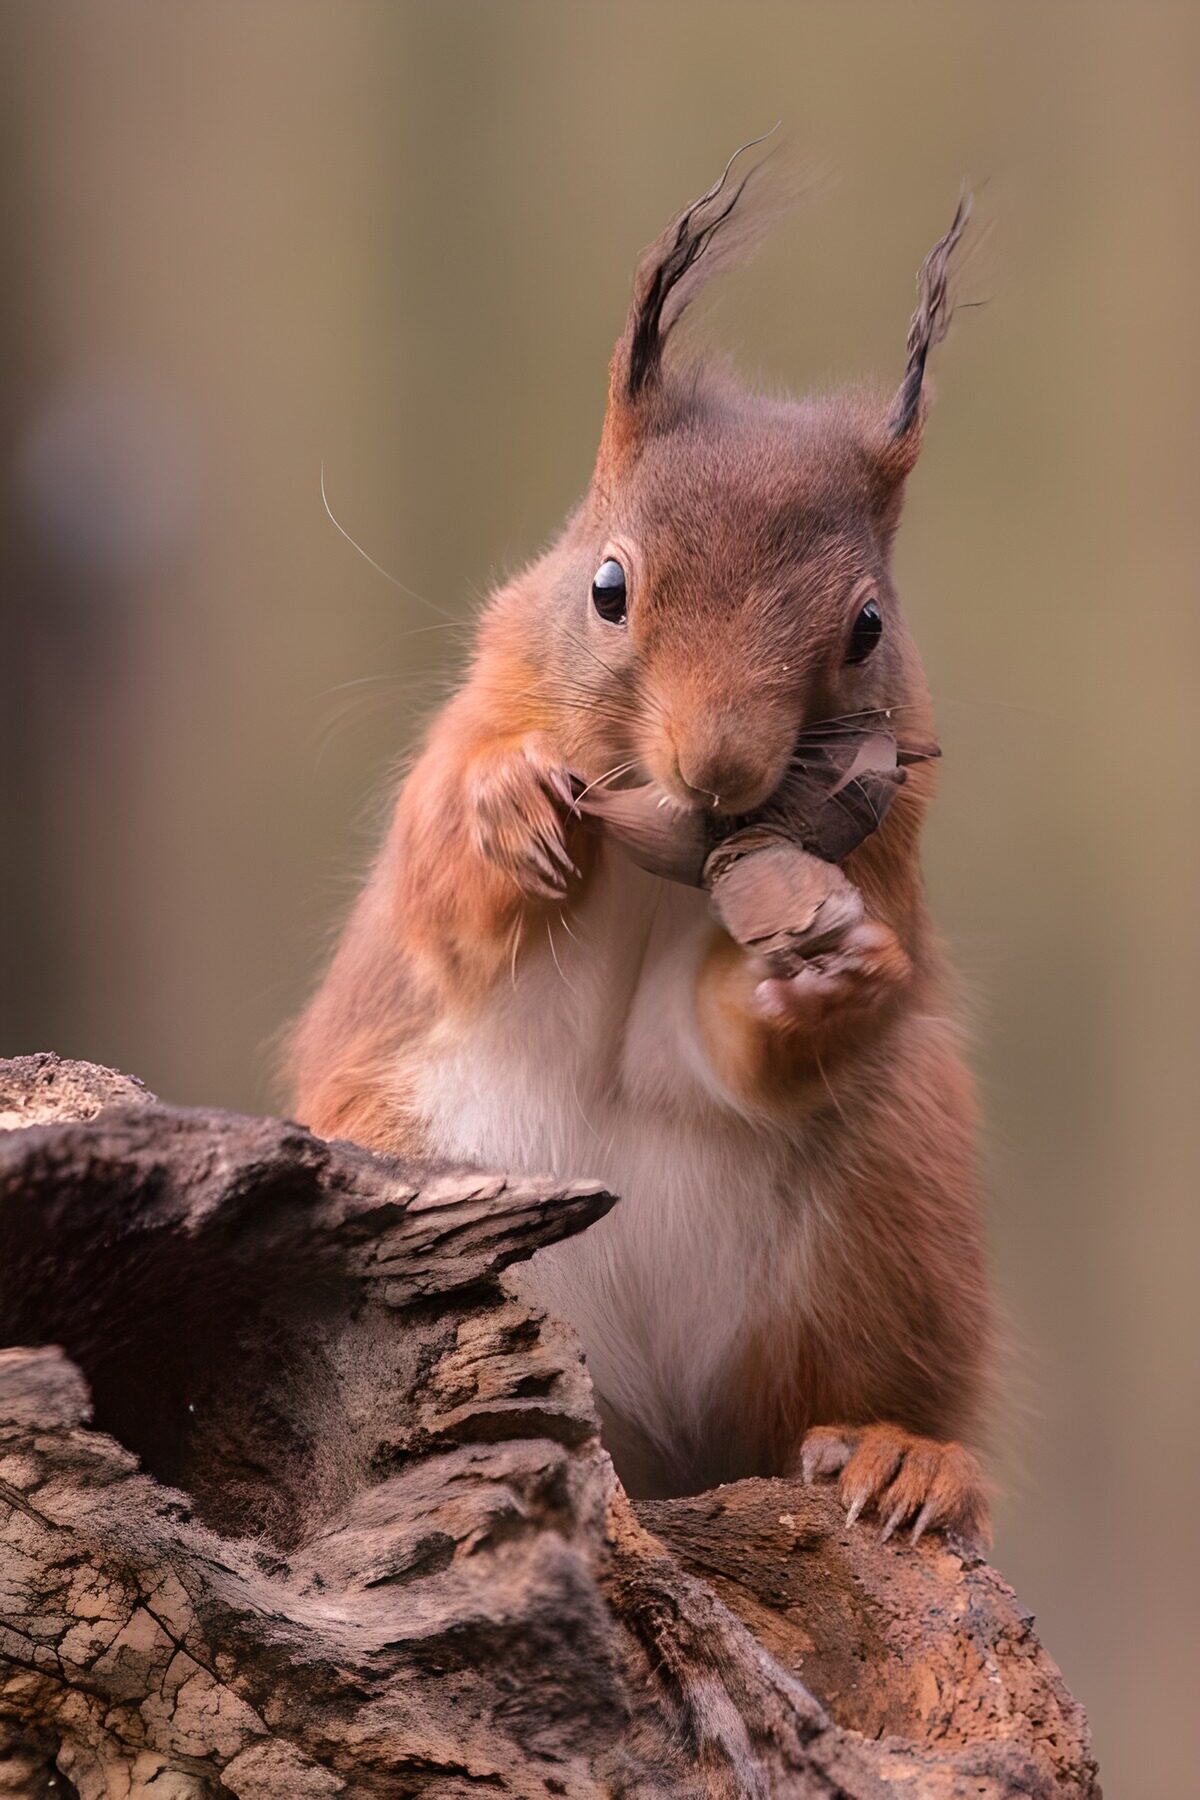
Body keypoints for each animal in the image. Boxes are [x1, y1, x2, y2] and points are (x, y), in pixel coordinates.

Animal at [290, 146, 994, 1547]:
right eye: (606, 587)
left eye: (868, 628)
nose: (718, 773)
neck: (656, 864)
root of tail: (668, 1450)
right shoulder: (464, 740)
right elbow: (444, 895)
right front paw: (510, 811)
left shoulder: (878, 853)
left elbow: (722, 1040)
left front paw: (832, 977)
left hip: (891, 1214)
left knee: (843, 1397)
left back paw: (903, 1458)